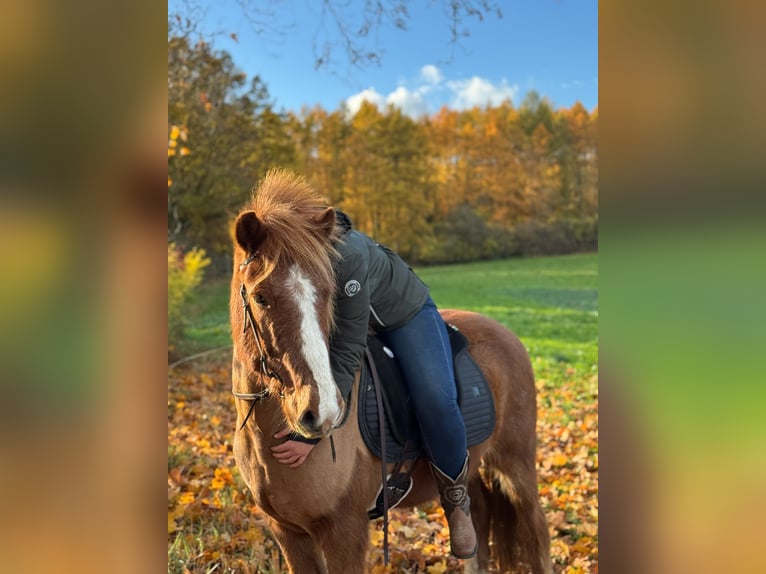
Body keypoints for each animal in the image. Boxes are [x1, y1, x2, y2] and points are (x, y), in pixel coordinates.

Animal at [229, 170, 552, 574]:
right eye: (260, 297)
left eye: (330, 293)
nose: (322, 413)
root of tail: (506, 333)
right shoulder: (288, 533)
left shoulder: (344, 533)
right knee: (476, 523)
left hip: (516, 465)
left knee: (536, 532)